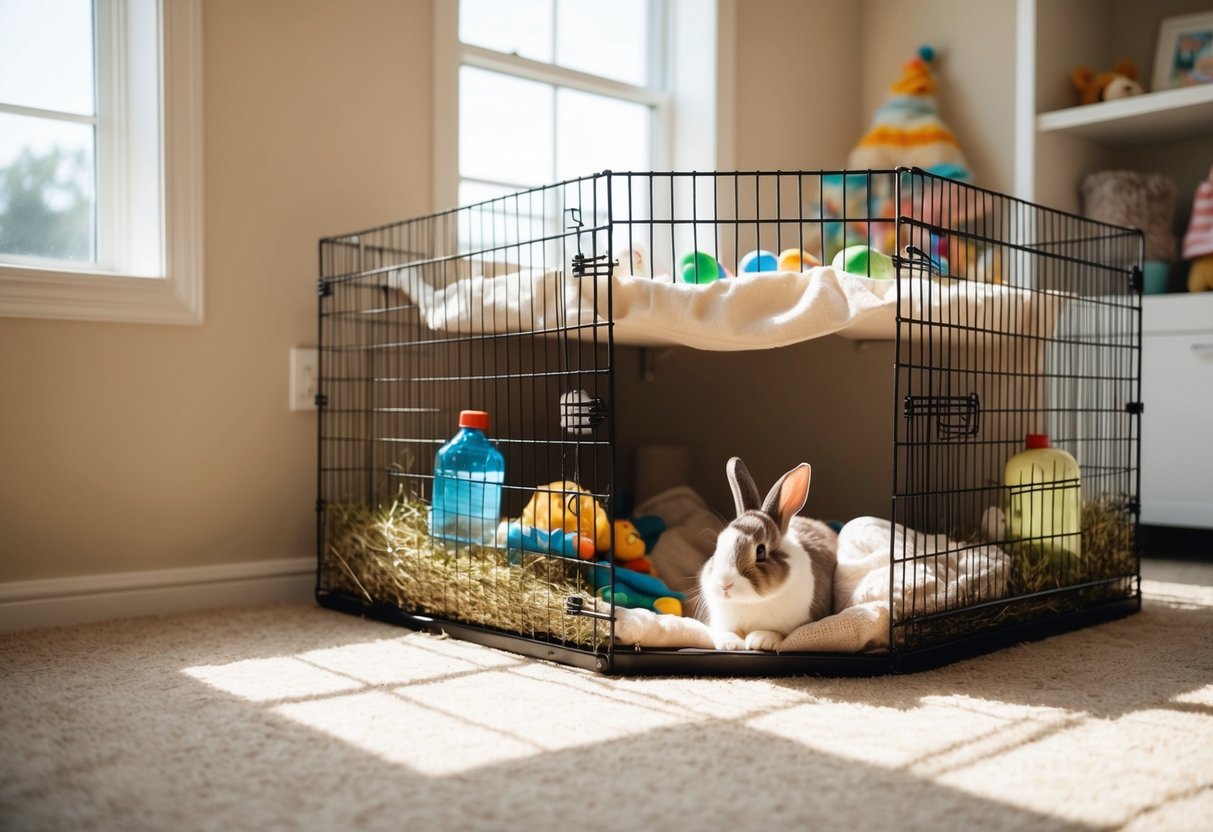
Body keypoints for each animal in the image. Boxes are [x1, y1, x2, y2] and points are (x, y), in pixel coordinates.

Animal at [699, 457, 838, 651]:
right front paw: (730, 644)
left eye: (760, 551)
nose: (725, 585)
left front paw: (761, 639)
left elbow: (779, 633)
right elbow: (725, 632)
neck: (750, 602)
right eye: (717, 546)